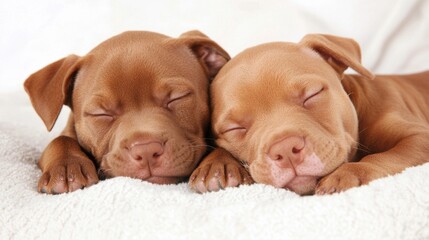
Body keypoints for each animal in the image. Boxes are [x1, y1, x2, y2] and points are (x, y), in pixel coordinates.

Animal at [24, 30, 229, 195]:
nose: (146, 150)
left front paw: (217, 166)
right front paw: (66, 168)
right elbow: (60, 140)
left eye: (177, 97)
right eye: (101, 113)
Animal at [190, 33, 428, 195]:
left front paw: (348, 173)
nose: (285, 149)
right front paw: (215, 167)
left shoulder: (420, 137)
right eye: (235, 128)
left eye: (312, 94)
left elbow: (384, 156)